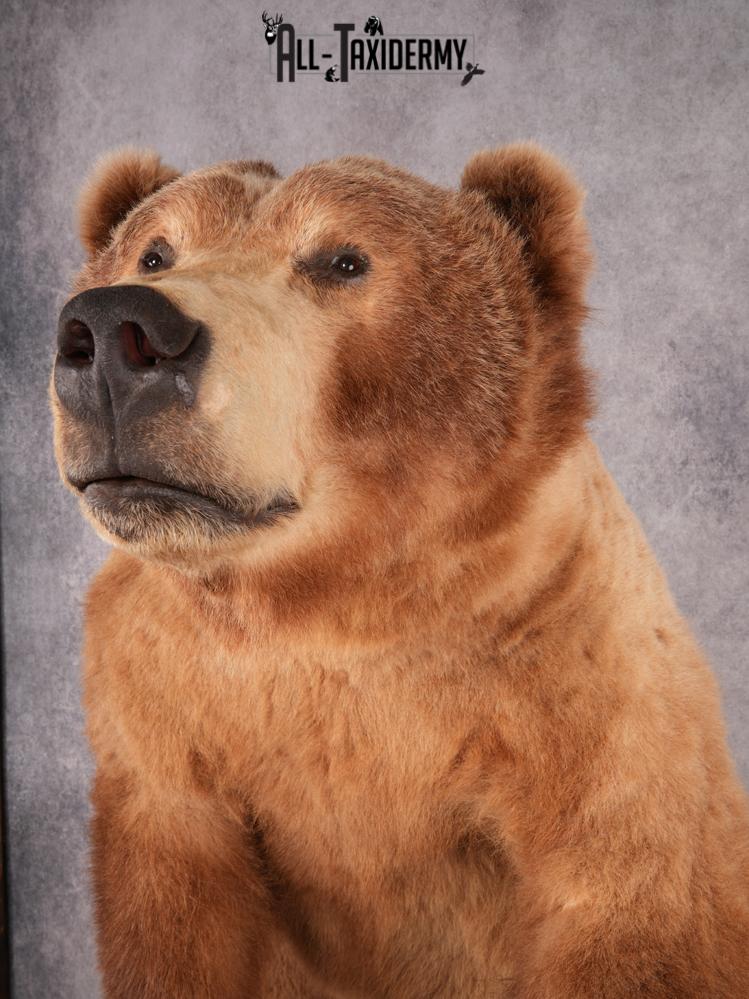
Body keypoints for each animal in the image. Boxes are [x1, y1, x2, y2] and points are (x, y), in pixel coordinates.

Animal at [50, 143, 749, 999]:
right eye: (154, 251)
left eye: (342, 259)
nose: (118, 327)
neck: (330, 599)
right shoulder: (168, 705)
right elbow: (177, 917)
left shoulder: (577, 697)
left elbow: (628, 909)